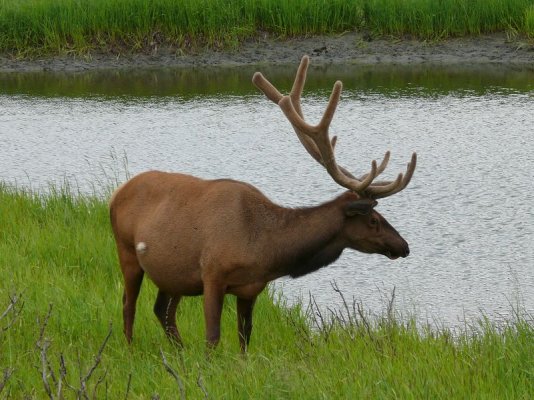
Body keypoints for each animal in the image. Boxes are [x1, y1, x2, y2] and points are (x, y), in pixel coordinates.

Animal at [109, 55, 418, 350]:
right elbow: (213, 337)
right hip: (127, 251)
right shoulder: (212, 273)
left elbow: (245, 338)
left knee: (162, 310)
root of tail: (116, 194)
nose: (404, 246)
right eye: (374, 220)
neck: (264, 249)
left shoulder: (251, 288)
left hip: (172, 275)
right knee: (128, 305)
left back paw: (179, 351)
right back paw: (130, 348)